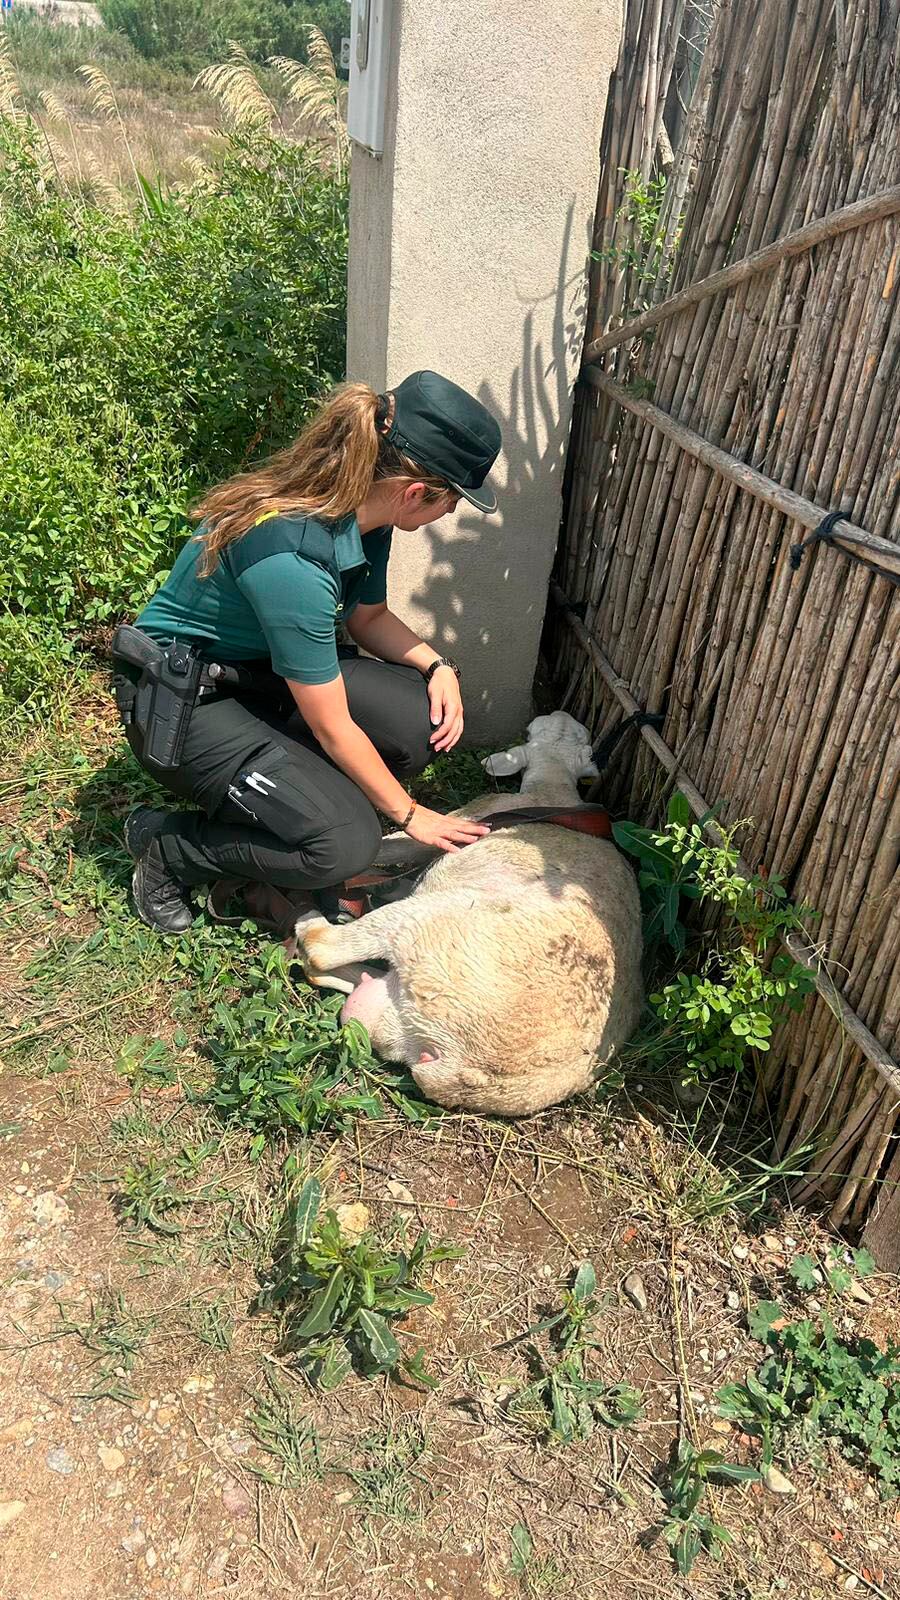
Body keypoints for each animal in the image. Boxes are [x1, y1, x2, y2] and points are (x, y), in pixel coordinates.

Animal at [297, 712, 643, 1116]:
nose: (560, 714)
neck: (553, 788)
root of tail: (463, 1068)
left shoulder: (471, 816)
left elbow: (391, 845)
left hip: (425, 925)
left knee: (321, 952)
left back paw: (308, 916)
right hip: (392, 1015)